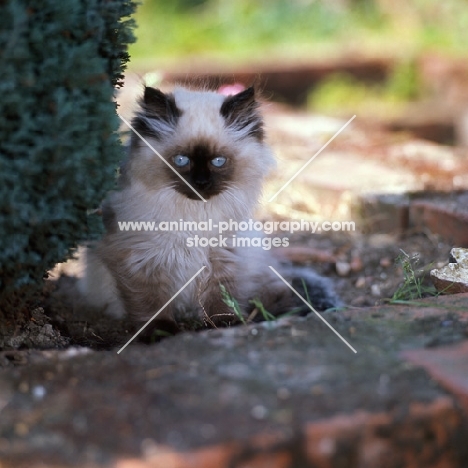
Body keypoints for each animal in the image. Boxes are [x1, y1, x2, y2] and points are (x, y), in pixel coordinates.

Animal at [78, 86, 338, 330]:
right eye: (181, 161)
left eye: (218, 162)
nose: (201, 183)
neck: (195, 219)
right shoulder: (141, 261)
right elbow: (151, 305)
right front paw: (160, 332)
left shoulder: (223, 258)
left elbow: (221, 302)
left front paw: (224, 325)